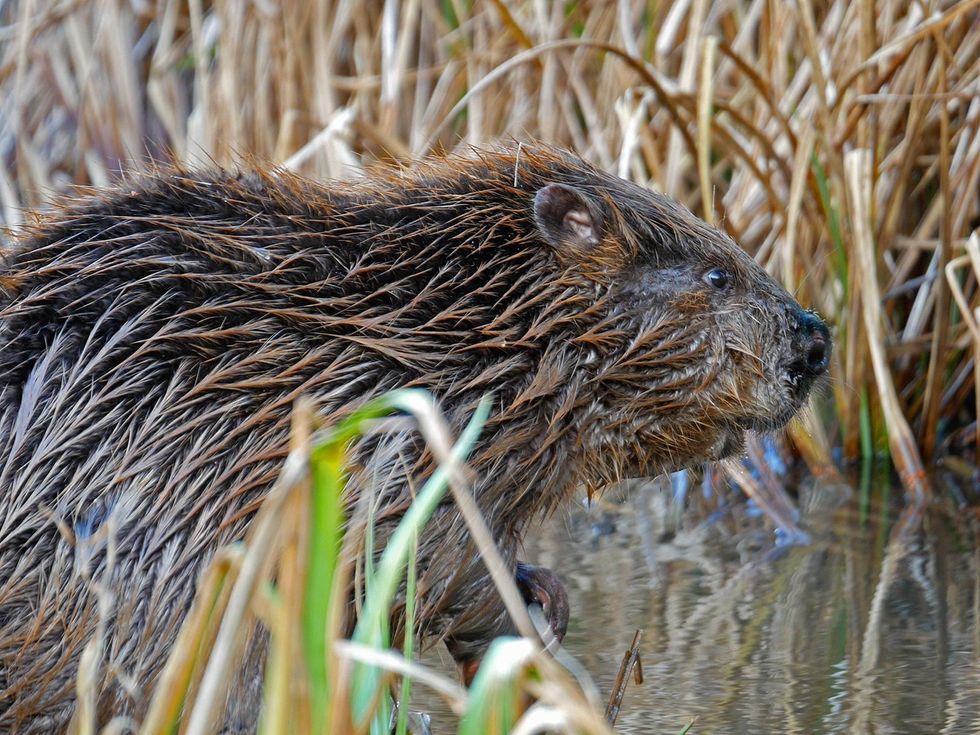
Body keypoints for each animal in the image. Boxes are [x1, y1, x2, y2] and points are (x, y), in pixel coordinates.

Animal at [0, 145, 828, 732]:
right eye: (717, 276)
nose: (815, 340)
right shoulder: (400, 444)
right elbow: (430, 566)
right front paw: (532, 623)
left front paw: (544, 592)